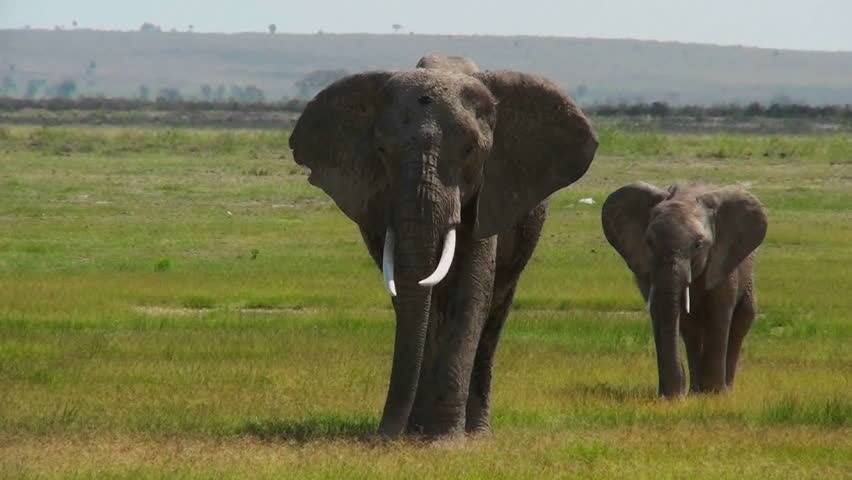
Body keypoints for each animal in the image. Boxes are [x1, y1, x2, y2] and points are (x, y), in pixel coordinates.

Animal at [289, 67, 598, 437]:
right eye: (381, 149)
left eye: (470, 149)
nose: (385, 435)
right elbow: (412, 294)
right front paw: (420, 433)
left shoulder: (489, 193)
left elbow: (471, 292)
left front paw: (442, 439)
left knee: (495, 311)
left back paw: (476, 433)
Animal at [601, 182, 768, 397]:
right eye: (649, 242)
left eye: (698, 245)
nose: (674, 394)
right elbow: (661, 311)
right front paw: (673, 396)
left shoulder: (723, 261)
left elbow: (719, 313)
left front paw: (713, 394)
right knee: (691, 331)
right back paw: (695, 391)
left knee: (742, 321)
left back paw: (725, 390)